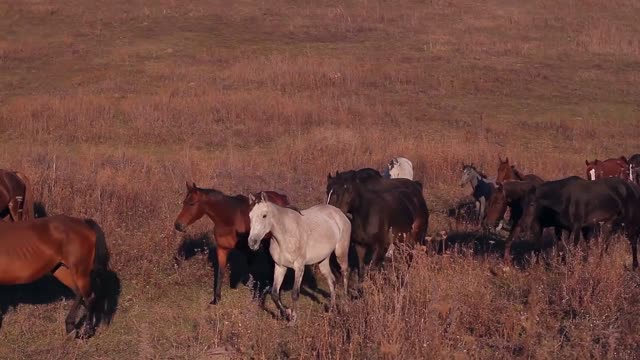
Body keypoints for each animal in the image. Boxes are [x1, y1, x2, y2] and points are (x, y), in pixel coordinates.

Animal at [248, 193, 352, 322]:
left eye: (264, 215)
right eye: (250, 216)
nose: (252, 243)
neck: (285, 235)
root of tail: (340, 214)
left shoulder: (299, 267)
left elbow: (295, 294)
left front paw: (292, 319)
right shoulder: (280, 267)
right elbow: (275, 294)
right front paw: (287, 313)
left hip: (341, 253)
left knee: (345, 273)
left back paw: (346, 307)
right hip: (323, 260)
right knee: (332, 281)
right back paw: (332, 310)